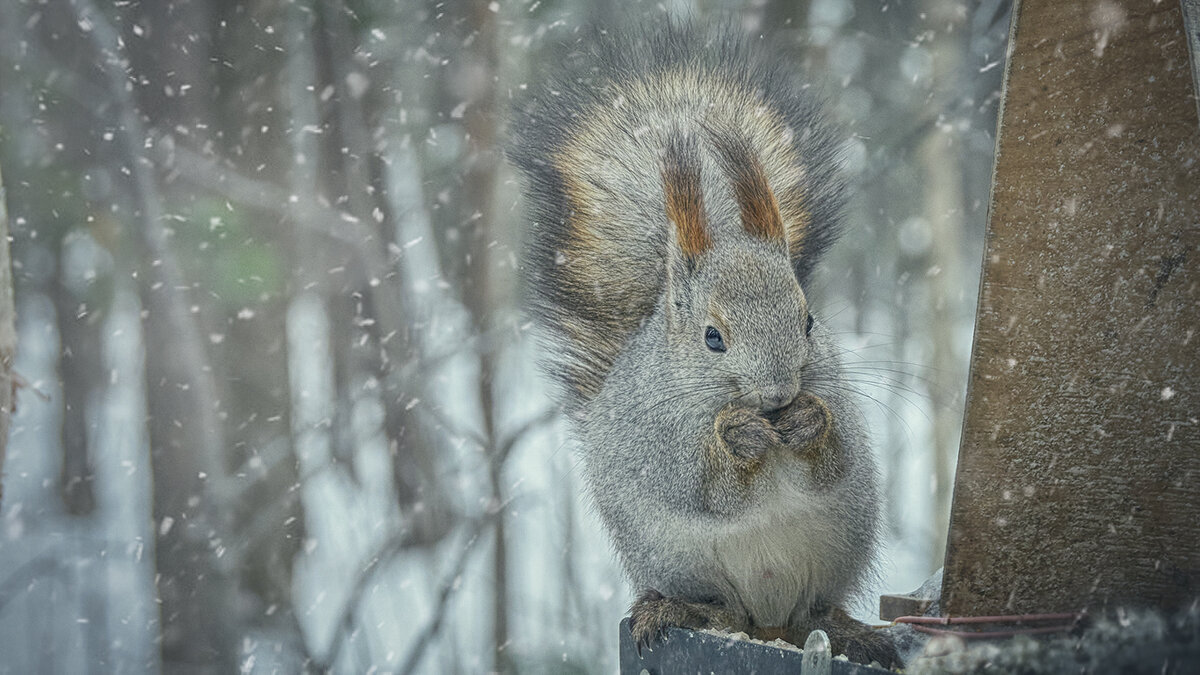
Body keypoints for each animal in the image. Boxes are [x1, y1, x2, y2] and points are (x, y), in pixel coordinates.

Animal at [508, 22, 902, 667]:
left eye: (809, 320)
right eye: (712, 337)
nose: (778, 395)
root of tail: (768, 622)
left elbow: (835, 459)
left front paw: (809, 422)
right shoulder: (657, 436)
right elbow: (700, 485)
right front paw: (736, 437)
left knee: (813, 613)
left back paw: (851, 632)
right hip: (679, 561)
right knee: (723, 610)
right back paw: (680, 610)